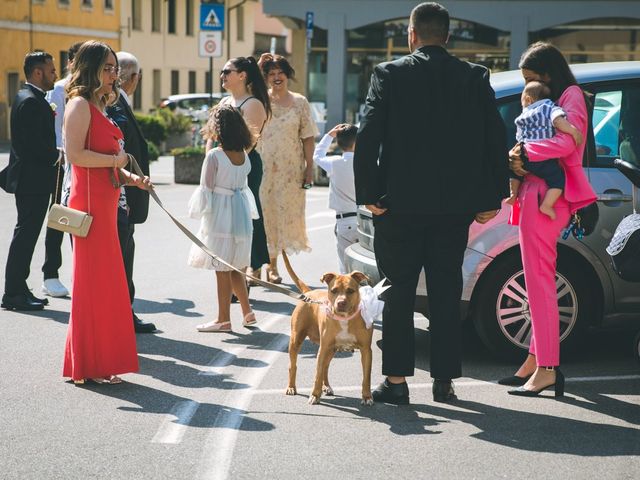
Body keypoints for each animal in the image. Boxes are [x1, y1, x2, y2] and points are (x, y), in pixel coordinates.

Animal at [282, 251, 376, 404]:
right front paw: (314, 395)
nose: (341, 303)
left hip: (332, 350)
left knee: (325, 367)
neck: (344, 318)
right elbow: (317, 375)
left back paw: (326, 387)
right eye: (334, 290)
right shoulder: (323, 348)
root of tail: (308, 293)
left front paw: (367, 396)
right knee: (293, 365)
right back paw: (291, 387)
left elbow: (366, 377)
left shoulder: (366, 350)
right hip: (296, 340)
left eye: (350, 290)